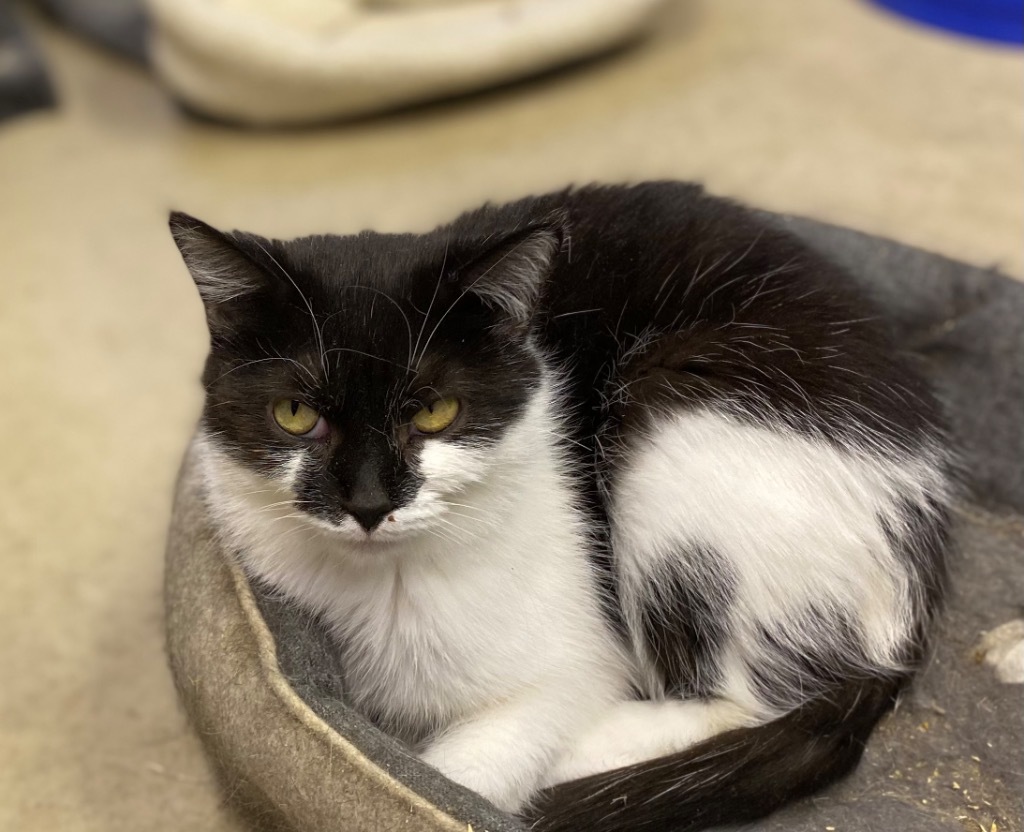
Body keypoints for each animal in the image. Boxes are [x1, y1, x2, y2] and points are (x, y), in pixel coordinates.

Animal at [169, 183, 950, 832]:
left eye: (437, 412)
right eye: (295, 414)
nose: (367, 502)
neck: (388, 583)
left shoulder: (577, 662)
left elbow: (477, 758)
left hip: (685, 428)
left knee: (742, 701)